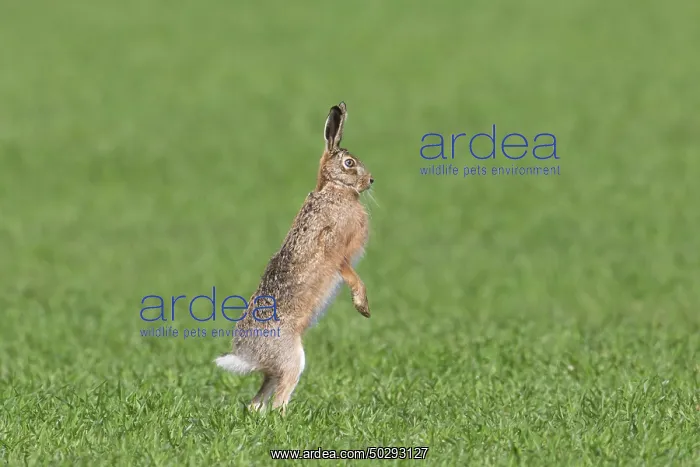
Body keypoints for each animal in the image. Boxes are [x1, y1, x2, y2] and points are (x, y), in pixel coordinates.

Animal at [214, 102, 374, 415]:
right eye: (349, 163)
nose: (370, 180)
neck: (335, 190)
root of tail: (247, 355)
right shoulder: (335, 248)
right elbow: (349, 272)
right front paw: (362, 305)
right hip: (292, 359)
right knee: (278, 400)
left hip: (276, 369)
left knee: (256, 402)